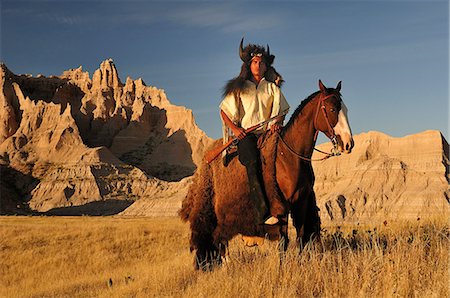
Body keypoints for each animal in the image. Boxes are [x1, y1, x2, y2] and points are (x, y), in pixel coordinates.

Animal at [179, 80, 356, 272]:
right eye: (332, 109)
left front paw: (300, 266)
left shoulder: (300, 202)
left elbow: (301, 237)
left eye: (346, 109)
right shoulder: (281, 206)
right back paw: (227, 266)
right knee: (220, 239)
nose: (348, 144)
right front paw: (281, 269)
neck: (289, 156)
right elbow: (283, 241)